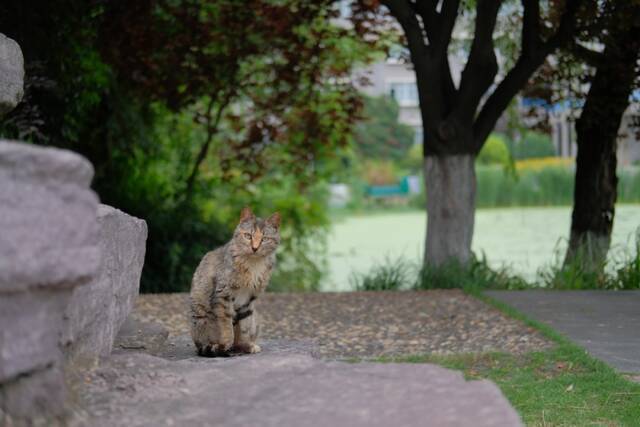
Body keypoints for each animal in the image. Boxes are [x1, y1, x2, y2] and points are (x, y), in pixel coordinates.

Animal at [189, 207, 282, 358]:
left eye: (264, 239)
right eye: (248, 236)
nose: (255, 248)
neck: (253, 264)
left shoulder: (248, 300)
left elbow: (243, 327)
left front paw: (245, 346)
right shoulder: (223, 294)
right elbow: (226, 325)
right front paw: (226, 345)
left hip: (255, 319)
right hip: (202, 320)